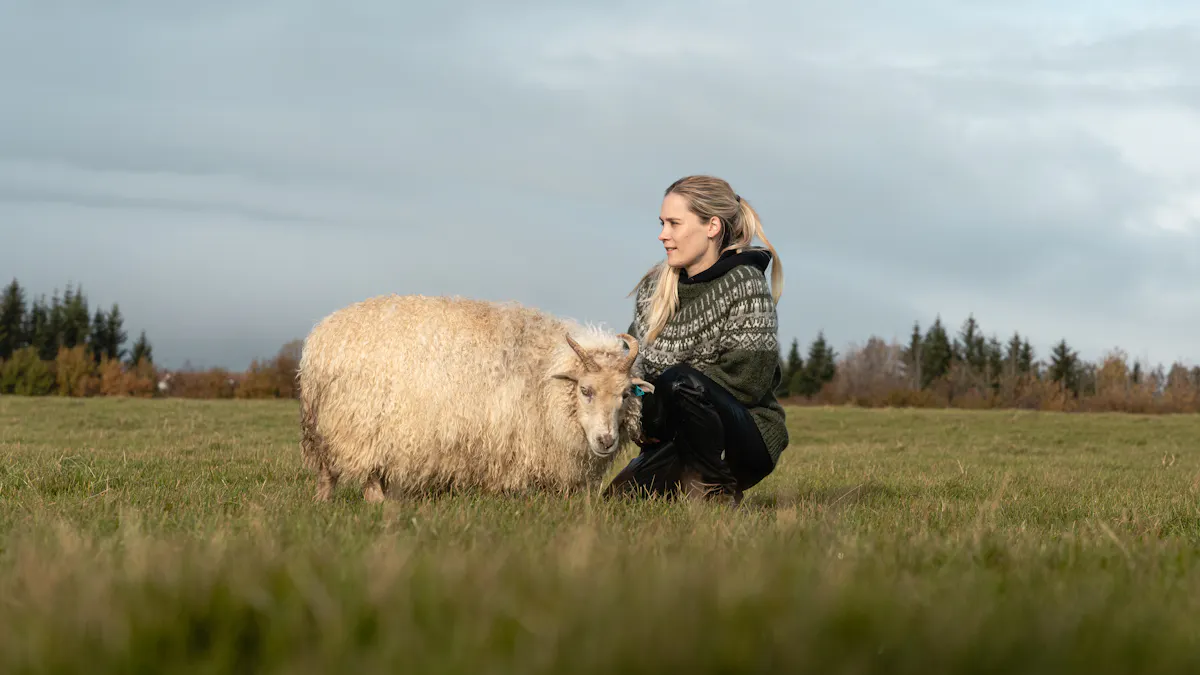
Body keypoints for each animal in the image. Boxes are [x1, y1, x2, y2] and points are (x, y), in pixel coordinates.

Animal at [297, 293, 655, 502]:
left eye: (626, 394)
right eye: (585, 390)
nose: (606, 440)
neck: (543, 373)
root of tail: (321, 337)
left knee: (329, 472)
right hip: (357, 424)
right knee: (363, 472)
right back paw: (375, 503)